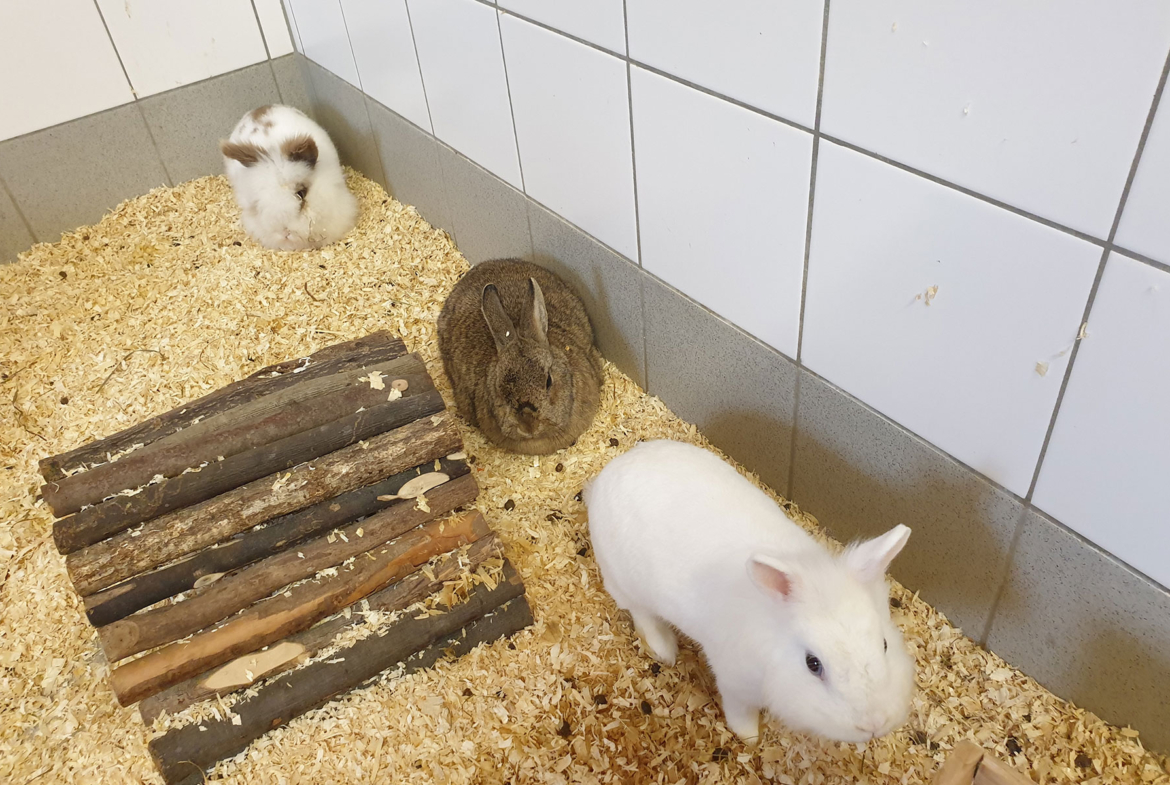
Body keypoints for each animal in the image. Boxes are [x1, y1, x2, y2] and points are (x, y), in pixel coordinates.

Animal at [584, 439, 915, 744]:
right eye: (813, 664)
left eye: (884, 644)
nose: (874, 724)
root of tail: (606, 476)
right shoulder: (735, 684)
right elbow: (740, 713)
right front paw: (750, 738)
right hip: (622, 580)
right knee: (640, 613)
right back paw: (664, 649)